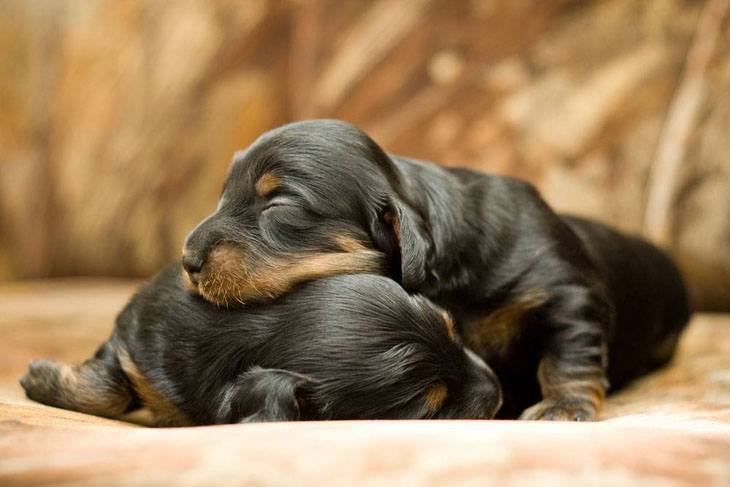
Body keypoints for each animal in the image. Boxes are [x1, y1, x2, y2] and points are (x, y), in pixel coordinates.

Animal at [21, 264, 500, 426]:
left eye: (453, 331)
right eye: (433, 409)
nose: (498, 394)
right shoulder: (132, 336)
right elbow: (112, 386)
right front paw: (38, 379)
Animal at [181, 120, 688, 422]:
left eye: (281, 204)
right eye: (222, 195)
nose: (187, 261)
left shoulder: (568, 295)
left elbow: (567, 356)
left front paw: (563, 407)